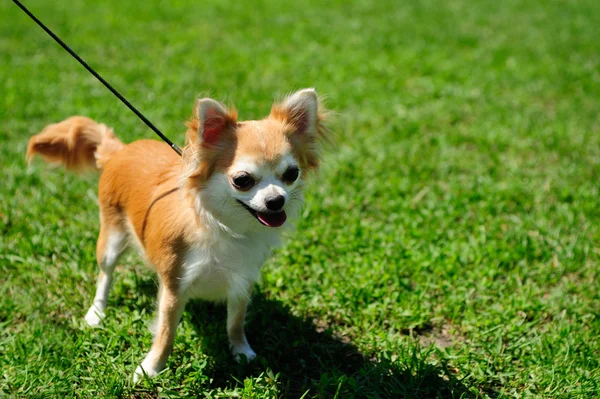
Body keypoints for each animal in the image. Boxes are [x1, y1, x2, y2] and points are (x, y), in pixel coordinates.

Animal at [25, 89, 328, 382]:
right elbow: (166, 334)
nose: (276, 200)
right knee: (105, 275)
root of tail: (120, 150)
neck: (223, 226)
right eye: (242, 180)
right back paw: (97, 312)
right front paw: (150, 369)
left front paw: (241, 351)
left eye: (291, 174)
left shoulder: (242, 280)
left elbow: (235, 322)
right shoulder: (174, 286)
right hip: (111, 239)